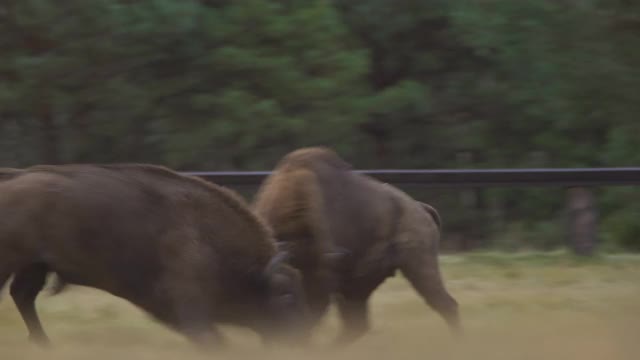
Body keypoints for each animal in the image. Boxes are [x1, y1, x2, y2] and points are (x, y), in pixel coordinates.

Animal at [0, 164, 310, 348]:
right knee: (19, 294)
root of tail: (12, 177)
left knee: (23, 295)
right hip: (13, 261)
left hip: (35, 265)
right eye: (286, 297)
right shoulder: (189, 308)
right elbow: (212, 339)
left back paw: (44, 344)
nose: (301, 340)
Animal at [252, 147, 462, 346]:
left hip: (418, 267)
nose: (304, 325)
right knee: (357, 325)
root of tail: (420, 208)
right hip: (362, 284)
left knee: (447, 305)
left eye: (320, 289)